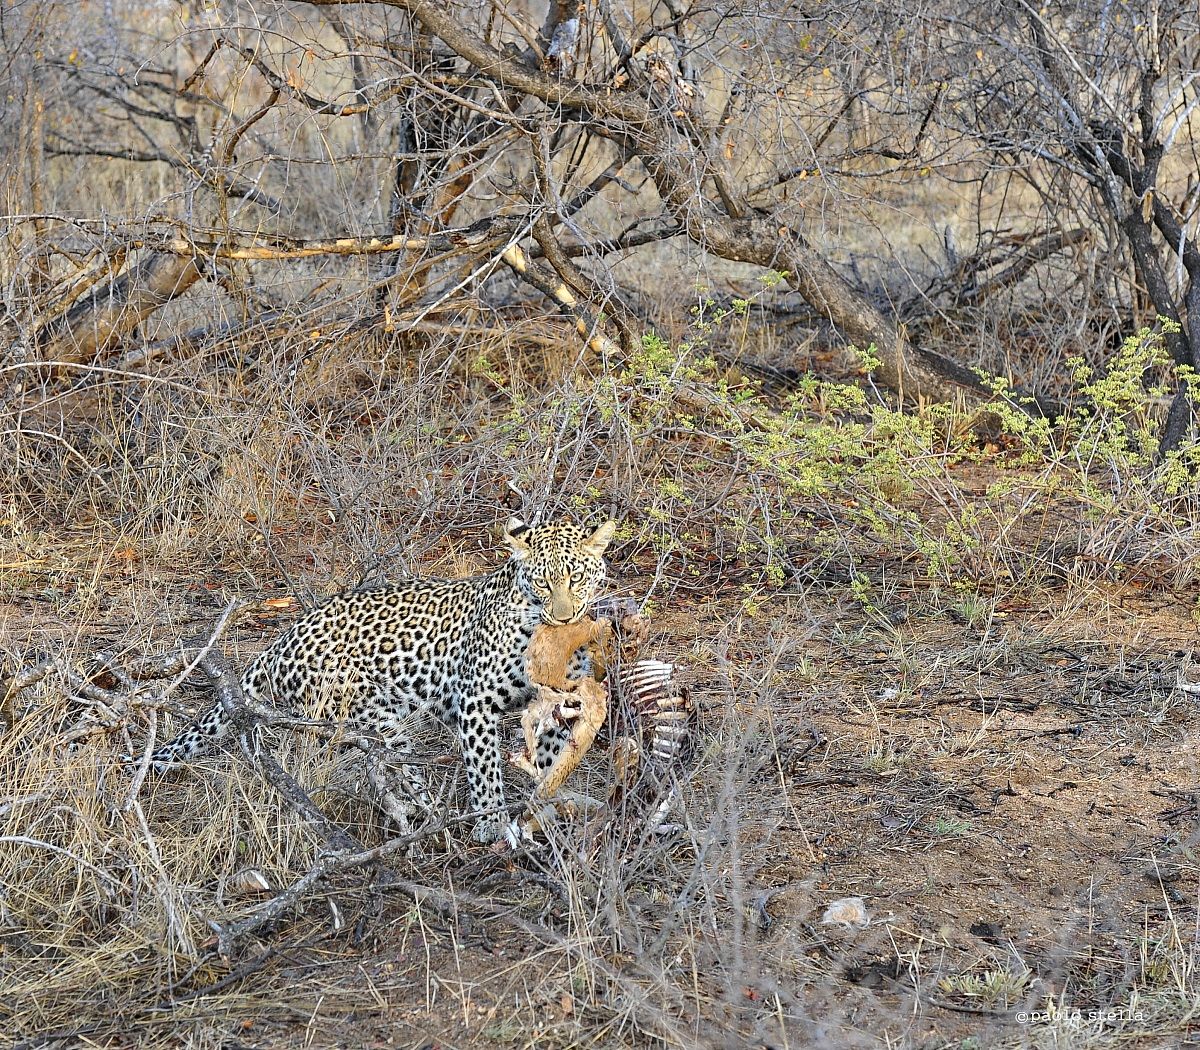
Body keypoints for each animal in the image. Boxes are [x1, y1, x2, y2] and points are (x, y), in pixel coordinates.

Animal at [149, 517, 618, 843]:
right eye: (542, 581)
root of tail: (279, 640)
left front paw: (543, 809)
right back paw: (430, 819)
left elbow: (551, 761)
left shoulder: (559, 701)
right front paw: (492, 824)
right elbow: (485, 771)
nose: (564, 617)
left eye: (576, 577)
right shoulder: (475, 701)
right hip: (373, 720)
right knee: (392, 771)